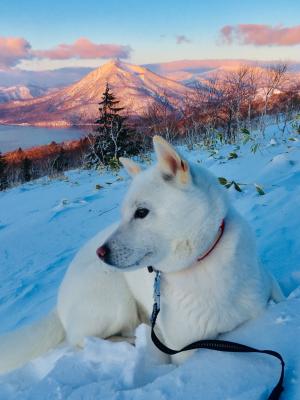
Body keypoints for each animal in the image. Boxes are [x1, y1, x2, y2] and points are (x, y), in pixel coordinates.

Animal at [0, 136, 284, 374]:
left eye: (141, 212)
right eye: (124, 214)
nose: (101, 252)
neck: (202, 261)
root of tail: (58, 302)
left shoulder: (265, 301)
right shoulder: (185, 349)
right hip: (116, 301)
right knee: (81, 340)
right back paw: (130, 341)